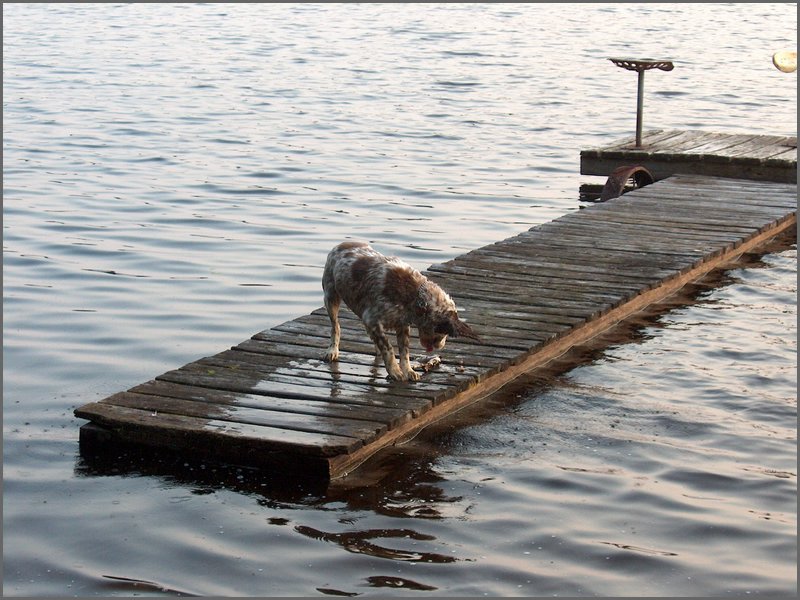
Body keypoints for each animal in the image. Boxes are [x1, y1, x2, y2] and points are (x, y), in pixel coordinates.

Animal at [320, 241, 482, 382]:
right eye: (444, 332)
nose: (440, 347)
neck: (414, 294)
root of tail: (341, 244)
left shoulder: (402, 324)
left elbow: (404, 351)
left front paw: (408, 371)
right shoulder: (372, 320)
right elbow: (389, 347)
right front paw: (395, 371)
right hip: (331, 298)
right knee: (336, 326)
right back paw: (332, 351)